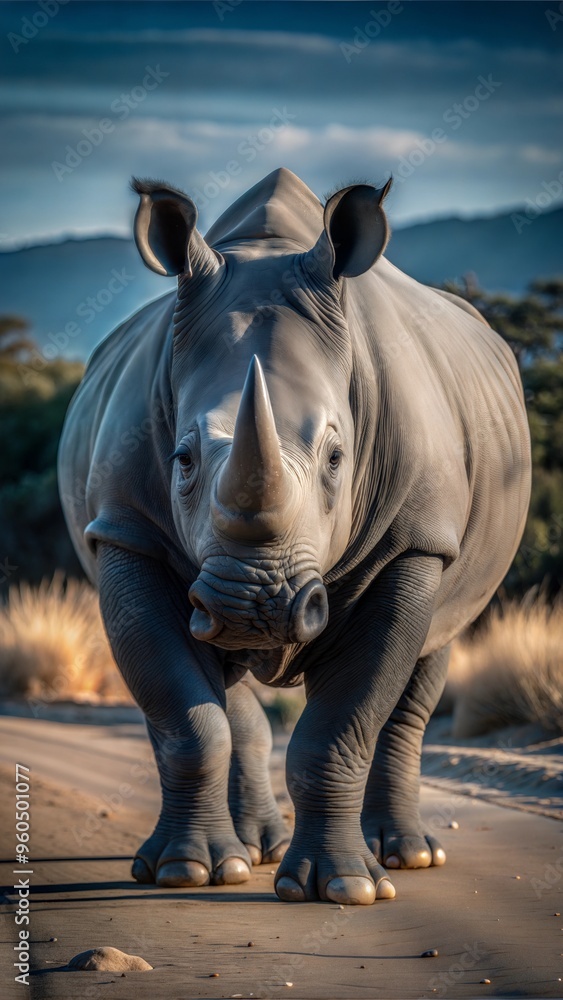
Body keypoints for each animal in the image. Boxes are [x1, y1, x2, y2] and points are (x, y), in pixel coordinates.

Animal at [58, 167, 531, 905]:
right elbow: (185, 715)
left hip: (447, 537)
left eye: (338, 458)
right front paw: (183, 872)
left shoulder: (414, 538)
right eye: (182, 459)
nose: (255, 606)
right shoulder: (125, 530)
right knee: (226, 697)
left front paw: (344, 888)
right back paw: (248, 853)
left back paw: (405, 856)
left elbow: (342, 721)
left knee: (430, 656)